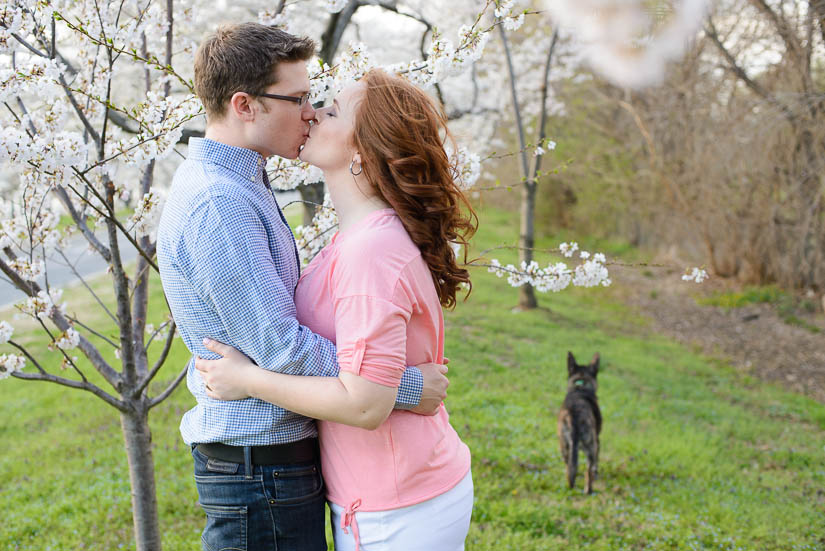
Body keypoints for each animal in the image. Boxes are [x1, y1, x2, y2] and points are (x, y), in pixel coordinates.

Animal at [556, 354, 600, 496]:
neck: (580, 386)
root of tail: (574, 415)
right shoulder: (597, 440)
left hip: (564, 446)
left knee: (569, 467)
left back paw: (570, 485)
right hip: (591, 446)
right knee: (588, 470)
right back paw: (589, 490)